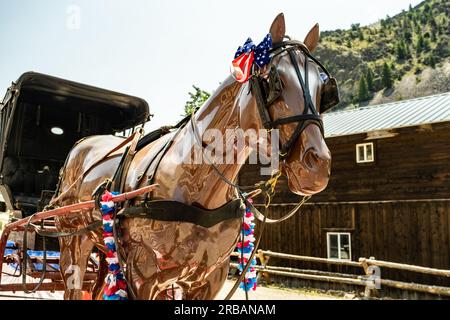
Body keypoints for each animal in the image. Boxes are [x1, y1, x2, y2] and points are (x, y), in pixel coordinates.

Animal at [51, 13, 334, 298]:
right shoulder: (142, 274)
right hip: (74, 242)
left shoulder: (210, 278)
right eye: (274, 81)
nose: (318, 165)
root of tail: (82, 144)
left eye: (323, 90)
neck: (195, 176)